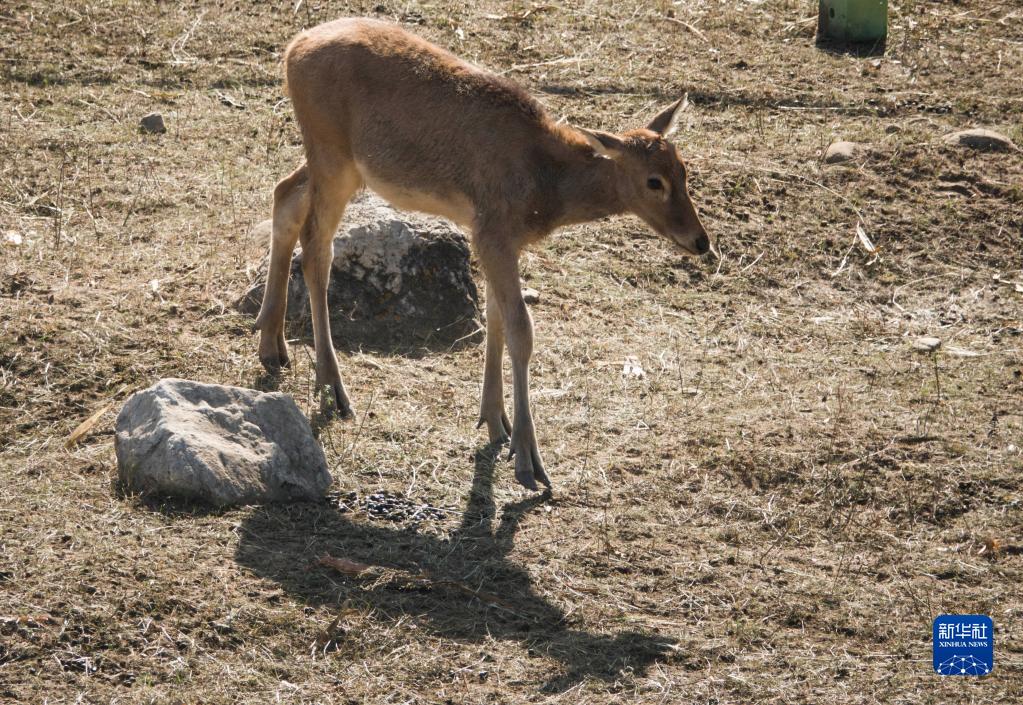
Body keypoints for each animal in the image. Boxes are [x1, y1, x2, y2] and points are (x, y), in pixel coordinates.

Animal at [251, 16, 707, 489]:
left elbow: (497, 319)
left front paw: (494, 420)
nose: (701, 240)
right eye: (654, 181)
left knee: (284, 193)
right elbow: (522, 329)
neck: (545, 189)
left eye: (684, 170)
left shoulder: (498, 238)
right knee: (316, 246)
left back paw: (271, 343)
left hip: (334, 162)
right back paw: (332, 386)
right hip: (333, 154)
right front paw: (528, 459)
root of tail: (293, 49)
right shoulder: (492, 231)